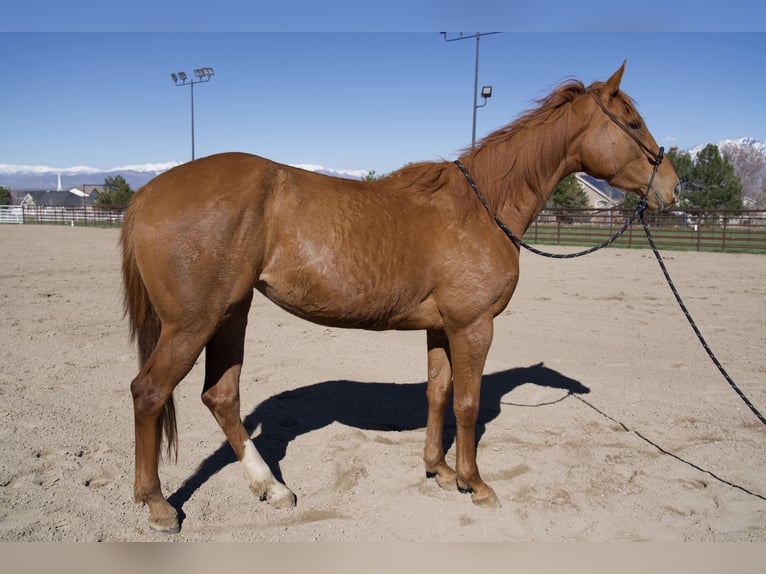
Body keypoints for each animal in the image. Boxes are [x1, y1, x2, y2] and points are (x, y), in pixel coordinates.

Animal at [118, 60, 680, 532]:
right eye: (632, 122)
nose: (671, 186)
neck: (479, 208)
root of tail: (148, 192)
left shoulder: (441, 328)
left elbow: (438, 393)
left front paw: (438, 469)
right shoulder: (474, 326)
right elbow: (469, 403)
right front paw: (475, 483)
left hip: (231, 314)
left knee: (221, 396)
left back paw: (271, 488)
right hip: (194, 323)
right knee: (149, 392)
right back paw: (158, 504)